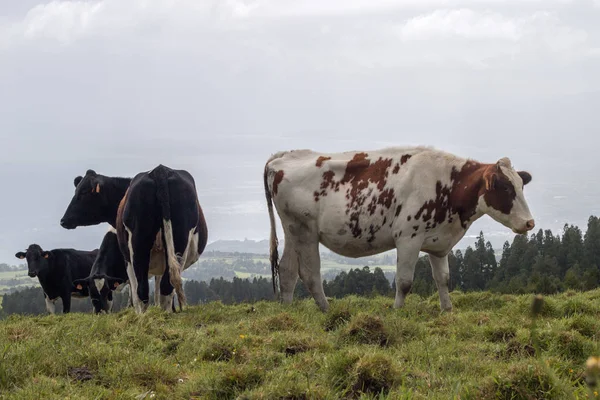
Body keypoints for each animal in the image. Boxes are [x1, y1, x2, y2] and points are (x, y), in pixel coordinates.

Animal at [59, 164, 209, 314]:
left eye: (83, 192)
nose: (63, 220)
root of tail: (159, 170)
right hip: (172, 245)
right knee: (162, 288)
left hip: (139, 249)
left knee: (148, 291)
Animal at [264, 146, 536, 312]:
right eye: (505, 188)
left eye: (521, 185)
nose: (530, 223)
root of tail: (282, 156)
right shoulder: (408, 238)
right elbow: (404, 281)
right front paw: (397, 311)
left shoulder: (438, 243)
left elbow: (444, 279)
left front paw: (447, 310)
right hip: (305, 231)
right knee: (309, 273)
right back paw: (326, 310)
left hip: (292, 230)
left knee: (287, 270)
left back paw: (287, 312)